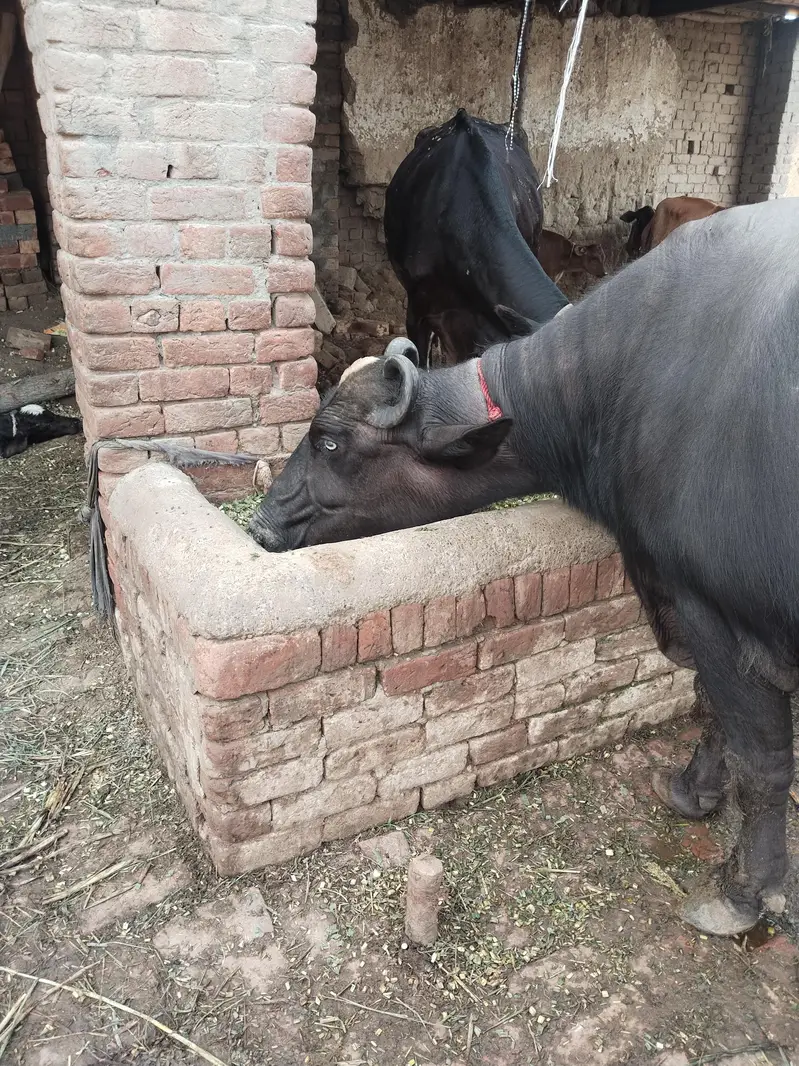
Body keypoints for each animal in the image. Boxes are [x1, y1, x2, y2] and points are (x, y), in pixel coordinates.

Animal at [251, 199, 799, 936]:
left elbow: (760, 755)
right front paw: (691, 790)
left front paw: (744, 891)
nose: (261, 524)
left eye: (329, 441)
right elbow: (716, 715)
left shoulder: (712, 610)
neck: (621, 389)